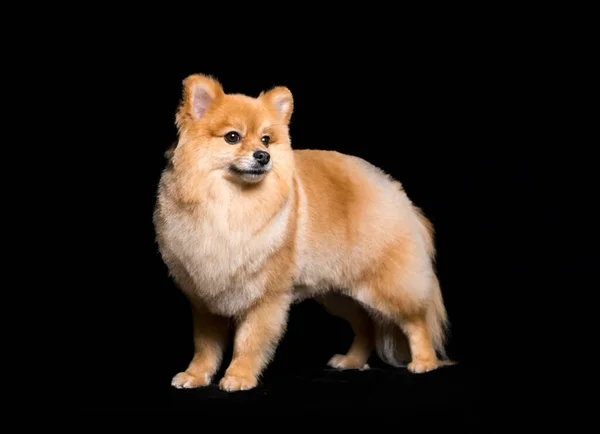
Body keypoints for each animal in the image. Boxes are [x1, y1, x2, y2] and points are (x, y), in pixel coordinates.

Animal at [152, 74, 452, 394]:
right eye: (232, 137)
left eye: (266, 139)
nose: (263, 156)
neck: (230, 204)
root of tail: (397, 192)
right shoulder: (205, 298)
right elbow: (205, 346)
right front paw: (196, 375)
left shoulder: (265, 298)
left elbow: (249, 342)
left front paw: (239, 377)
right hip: (338, 293)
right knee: (365, 326)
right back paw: (351, 361)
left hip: (387, 284)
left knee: (415, 321)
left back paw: (424, 362)